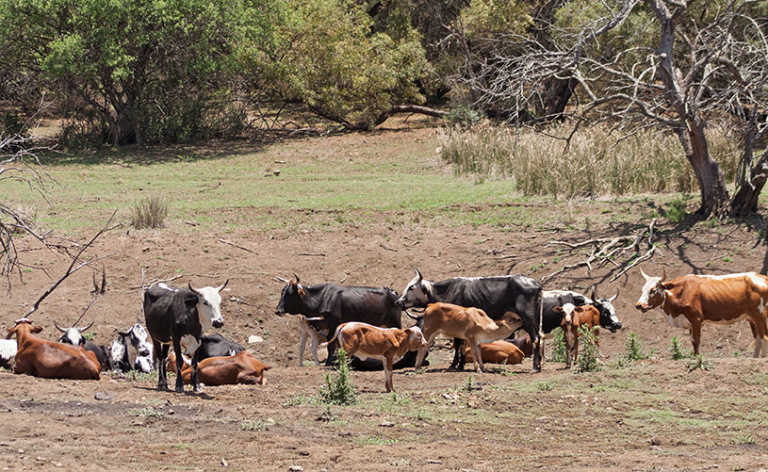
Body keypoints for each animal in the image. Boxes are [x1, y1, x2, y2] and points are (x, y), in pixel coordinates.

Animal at [272, 276, 416, 368]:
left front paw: (329, 363)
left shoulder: (332, 326)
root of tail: (394, 293)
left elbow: (331, 346)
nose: (278, 310)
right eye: (282, 292)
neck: (321, 299)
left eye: (290, 294)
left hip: (395, 321)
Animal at [400, 272, 544, 370]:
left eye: (411, 287)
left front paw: (456, 365)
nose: (399, 301)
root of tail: (536, 284)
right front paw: (460, 364)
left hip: (528, 319)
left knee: (536, 338)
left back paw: (535, 366)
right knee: (540, 337)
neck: (446, 291)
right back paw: (540, 364)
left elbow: (458, 343)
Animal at [632, 270, 768, 358]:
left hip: (760, 315)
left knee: (764, 337)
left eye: (653, 290)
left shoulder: (696, 319)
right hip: (752, 318)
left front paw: (697, 358)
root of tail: (762, 277)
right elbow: (692, 341)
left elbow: (696, 341)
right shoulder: (690, 323)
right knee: (758, 338)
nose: (639, 305)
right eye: (643, 289)